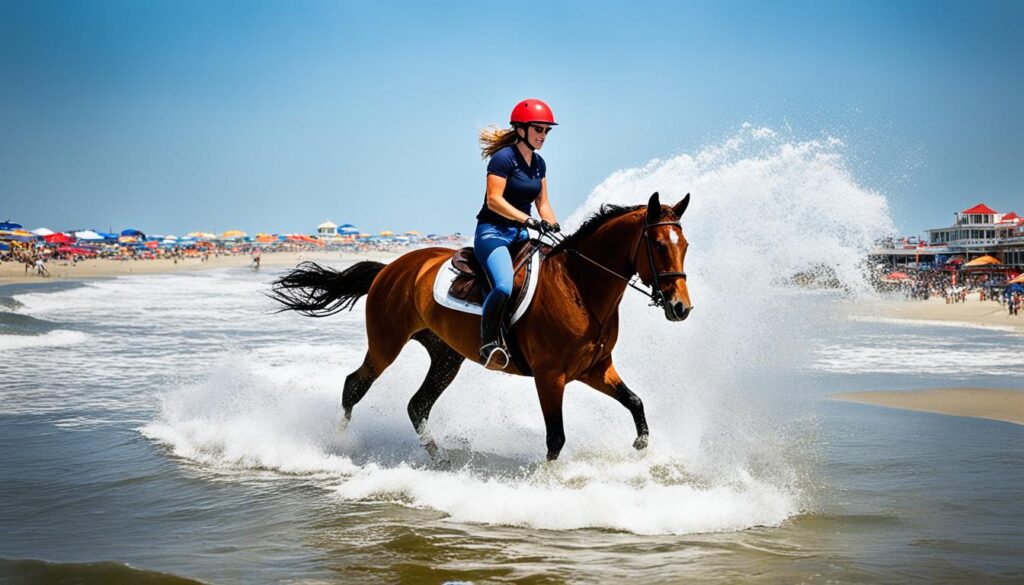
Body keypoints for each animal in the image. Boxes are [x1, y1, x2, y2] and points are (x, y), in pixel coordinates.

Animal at [272, 192, 692, 463]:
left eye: (684, 244)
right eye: (658, 245)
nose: (681, 307)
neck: (579, 287)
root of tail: (389, 268)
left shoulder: (594, 369)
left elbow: (635, 402)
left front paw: (640, 448)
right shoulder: (550, 377)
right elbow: (555, 439)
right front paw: (547, 482)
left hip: (445, 356)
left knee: (417, 405)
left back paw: (439, 459)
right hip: (385, 344)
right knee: (354, 386)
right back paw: (338, 443)